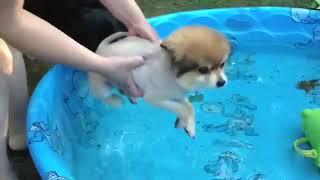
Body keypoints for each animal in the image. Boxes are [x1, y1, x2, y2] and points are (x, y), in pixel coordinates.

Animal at [89, 25, 231, 138]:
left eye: (222, 64)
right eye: (203, 69)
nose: (222, 82)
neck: (172, 76)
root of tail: (102, 47)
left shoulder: (178, 95)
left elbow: (189, 106)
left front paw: (188, 125)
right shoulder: (154, 99)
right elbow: (181, 108)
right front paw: (184, 120)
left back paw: (132, 97)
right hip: (101, 84)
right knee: (102, 95)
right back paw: (115, 101)